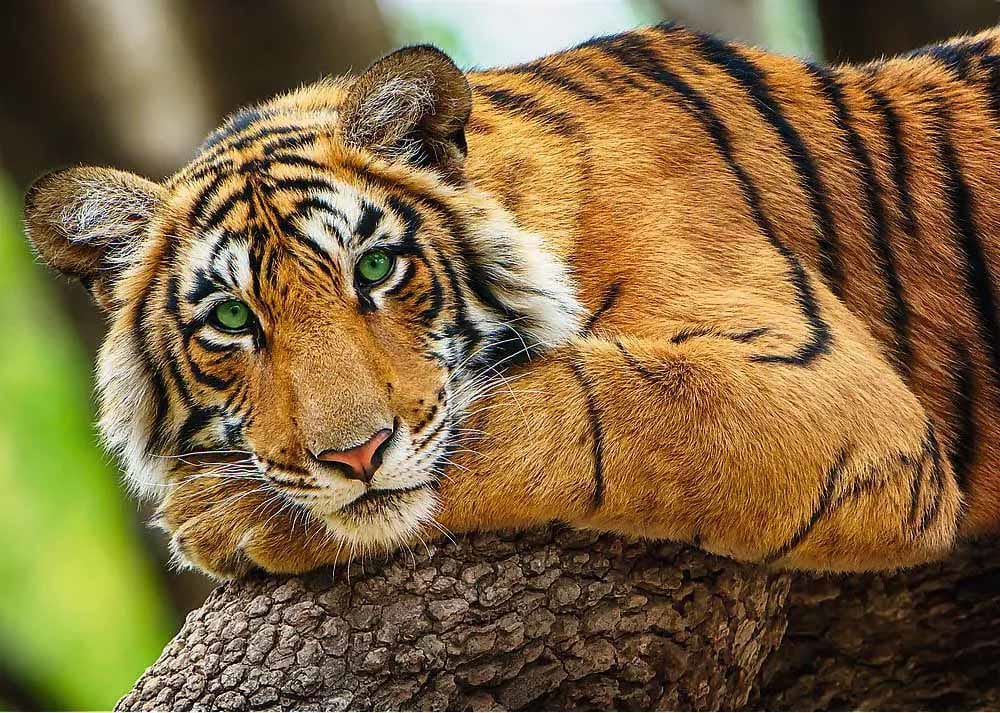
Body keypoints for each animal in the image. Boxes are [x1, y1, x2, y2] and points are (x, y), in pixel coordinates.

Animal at [22, 22, 1000, 579]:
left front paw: (223, 514)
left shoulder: (834, 394)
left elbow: (582, 407)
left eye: (376, 268)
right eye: (231, 318)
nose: (355, 455)